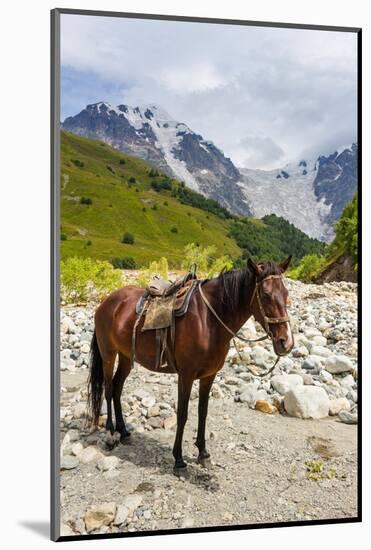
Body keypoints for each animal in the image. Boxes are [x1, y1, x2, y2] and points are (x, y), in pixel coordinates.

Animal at [87, 258, 294, 470]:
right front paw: (178, 458)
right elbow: (183, 414)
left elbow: (203, 412)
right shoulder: (186, 375)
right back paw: (111, 434)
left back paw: (124, 431)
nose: (285, 342)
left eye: (286, 294)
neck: (209, 321)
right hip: (109, 354)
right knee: (109, 390)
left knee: (117, 388)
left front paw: (203, 452)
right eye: (266, 295)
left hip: (127, 357)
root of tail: (107, 302)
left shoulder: (209, 376)